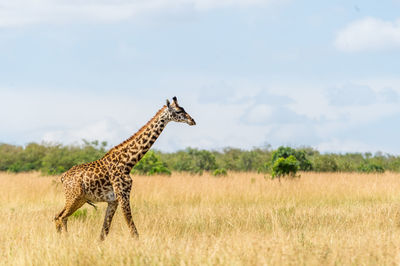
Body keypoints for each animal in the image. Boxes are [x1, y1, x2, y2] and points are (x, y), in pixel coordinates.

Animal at [54, 96, 196, 240]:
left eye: (184, 109)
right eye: (178, 111)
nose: (192, 121)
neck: (128, 162)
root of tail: (63, 177)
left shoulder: (113, 201)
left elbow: (104, 232)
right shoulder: (123, 195)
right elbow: (133, 231)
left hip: (80, 199)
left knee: (58, 216)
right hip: (74, 197)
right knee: (61, 217)